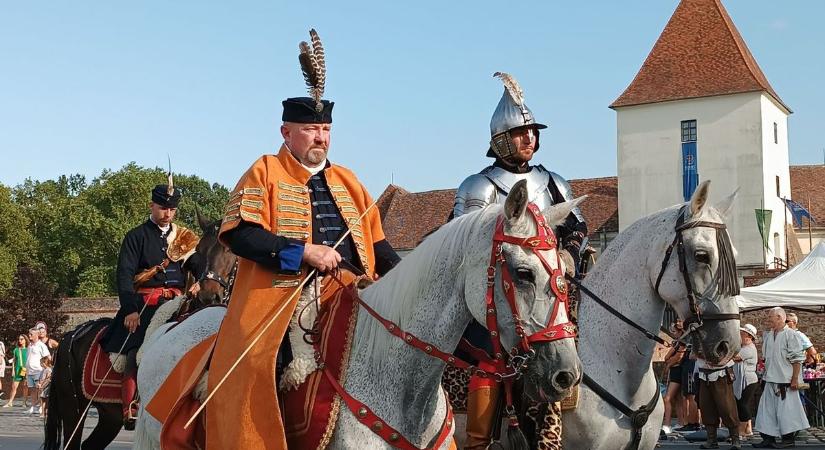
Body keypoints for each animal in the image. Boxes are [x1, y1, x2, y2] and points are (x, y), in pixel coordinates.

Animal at [44, 214, 237, 450]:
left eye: (230, 249)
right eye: (200, 249)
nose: (209, 295)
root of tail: (72, 334)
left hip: (109, 417)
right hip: (74, 408)